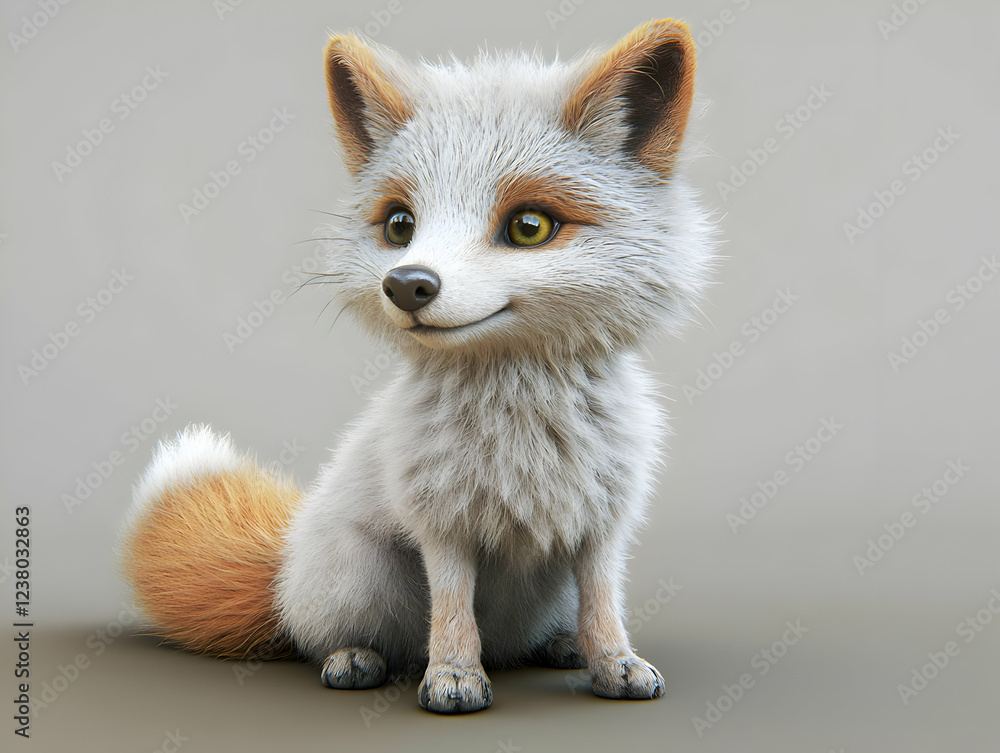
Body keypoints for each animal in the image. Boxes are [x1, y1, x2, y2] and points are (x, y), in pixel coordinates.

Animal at [119, 18, 715, 714]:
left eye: (529, 225)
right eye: (400, 224)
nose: (406, 284)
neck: (521, 435)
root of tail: (284, 564)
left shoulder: (602, 522)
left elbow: (604, 606)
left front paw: (616, 664)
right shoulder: (441, 523)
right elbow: (452, 611)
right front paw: (454, 676)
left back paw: (560, 646)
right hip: (361, 574)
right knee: (324, 637)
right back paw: (355, 658)